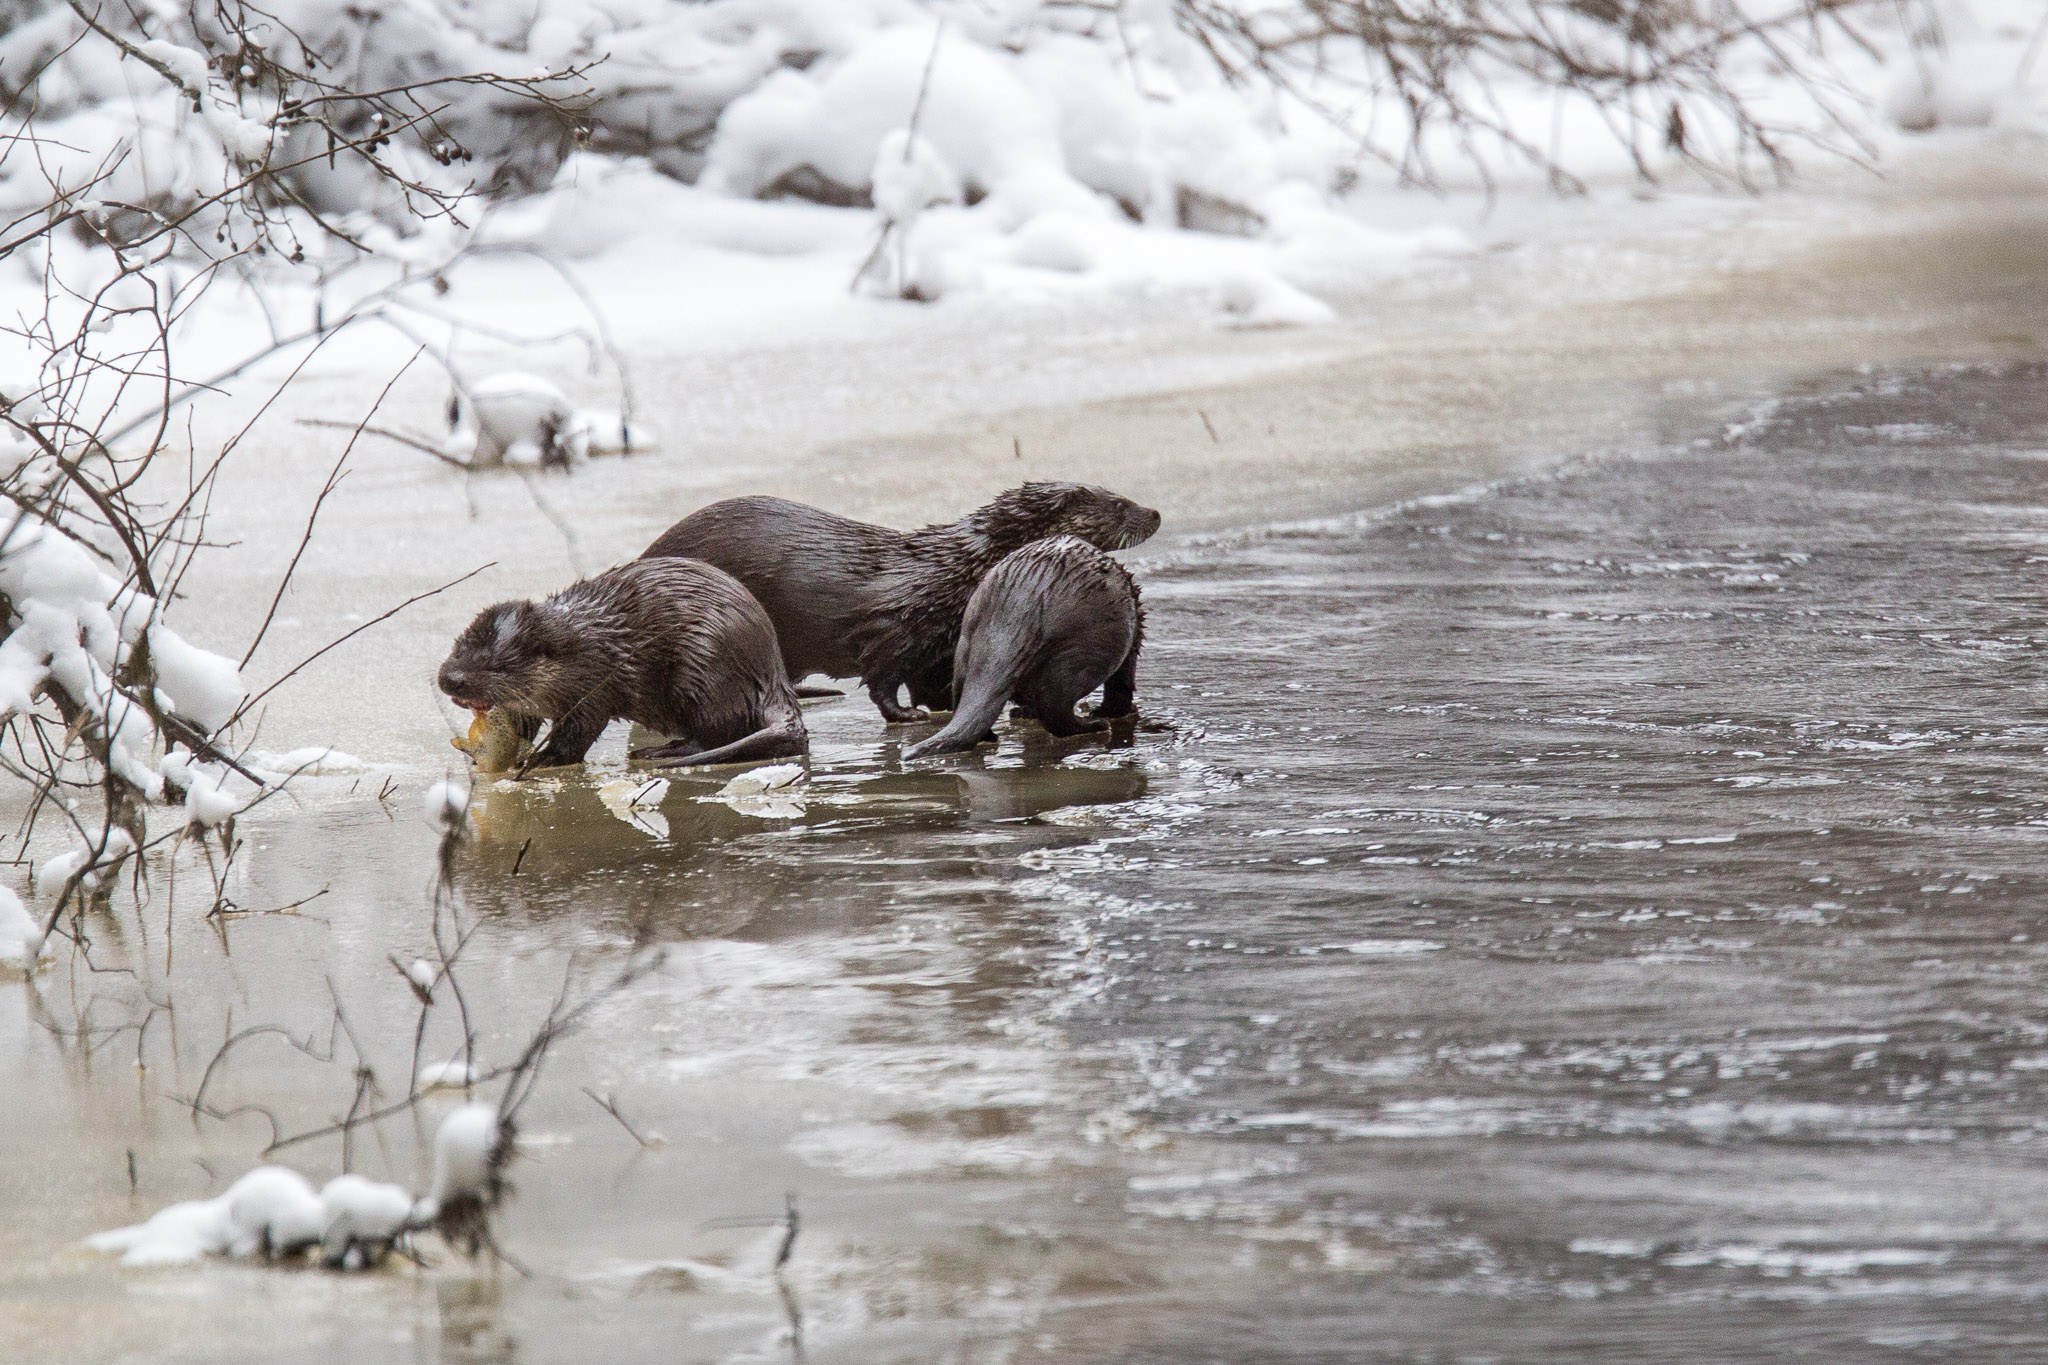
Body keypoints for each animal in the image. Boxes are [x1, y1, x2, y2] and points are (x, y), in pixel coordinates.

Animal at [436, 556, 802, 769]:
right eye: (457, 647)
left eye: (497, 665)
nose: (450, 679)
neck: (581, 649)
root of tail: (773, 676)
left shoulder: (596, 683)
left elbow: (581, 729)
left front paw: (545, 757)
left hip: (703, 671)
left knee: (718, 732)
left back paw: (662, 751)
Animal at [634, 482, 1155, 724]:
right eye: (1119, 504)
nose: (1155, 512)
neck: (953, 571)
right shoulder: (893, 625)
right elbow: (884, 678)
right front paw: (908, 715)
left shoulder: (940, 642)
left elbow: (934, 679)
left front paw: (942, 706)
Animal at [909, 532, 1146, 757]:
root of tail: (1022, 610)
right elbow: (1122, 683)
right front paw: (1114, 712)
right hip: (1081, 651)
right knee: (1054, 706)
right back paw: (1095, 725)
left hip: (965, 643)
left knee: (960, 696)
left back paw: (991, 736)